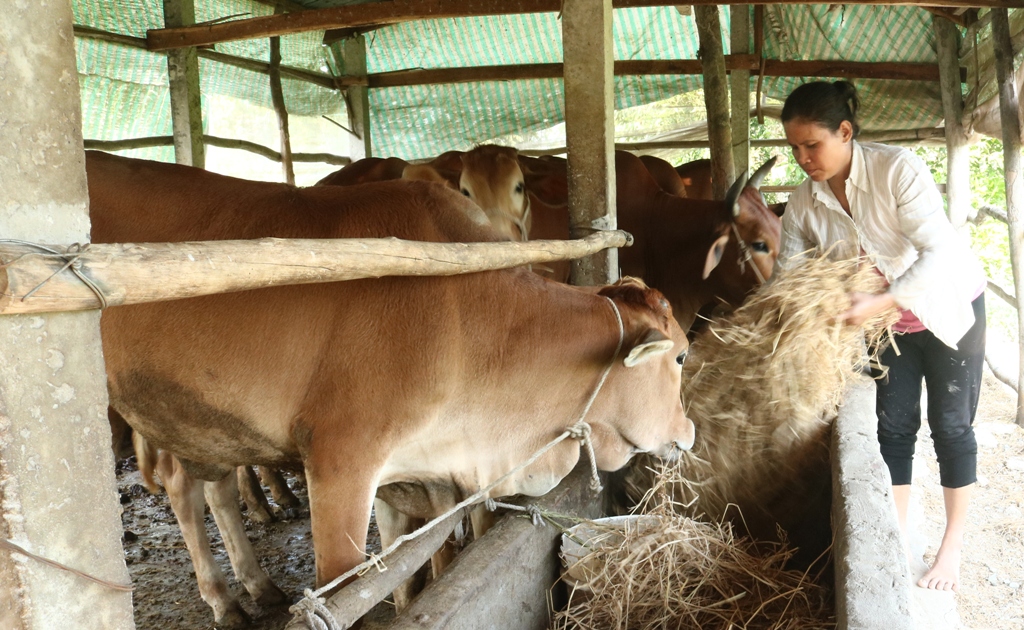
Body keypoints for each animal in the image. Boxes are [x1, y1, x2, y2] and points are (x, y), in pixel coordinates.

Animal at [88, 151, 696, 614]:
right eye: (682, 356)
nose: (689, 430)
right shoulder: (342, 460)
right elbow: (349, 588)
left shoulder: (409, 473)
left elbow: (405, 567)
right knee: (181, 488)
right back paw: (224, 599)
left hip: (202, 416)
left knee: (205, 487)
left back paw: (255, 586)